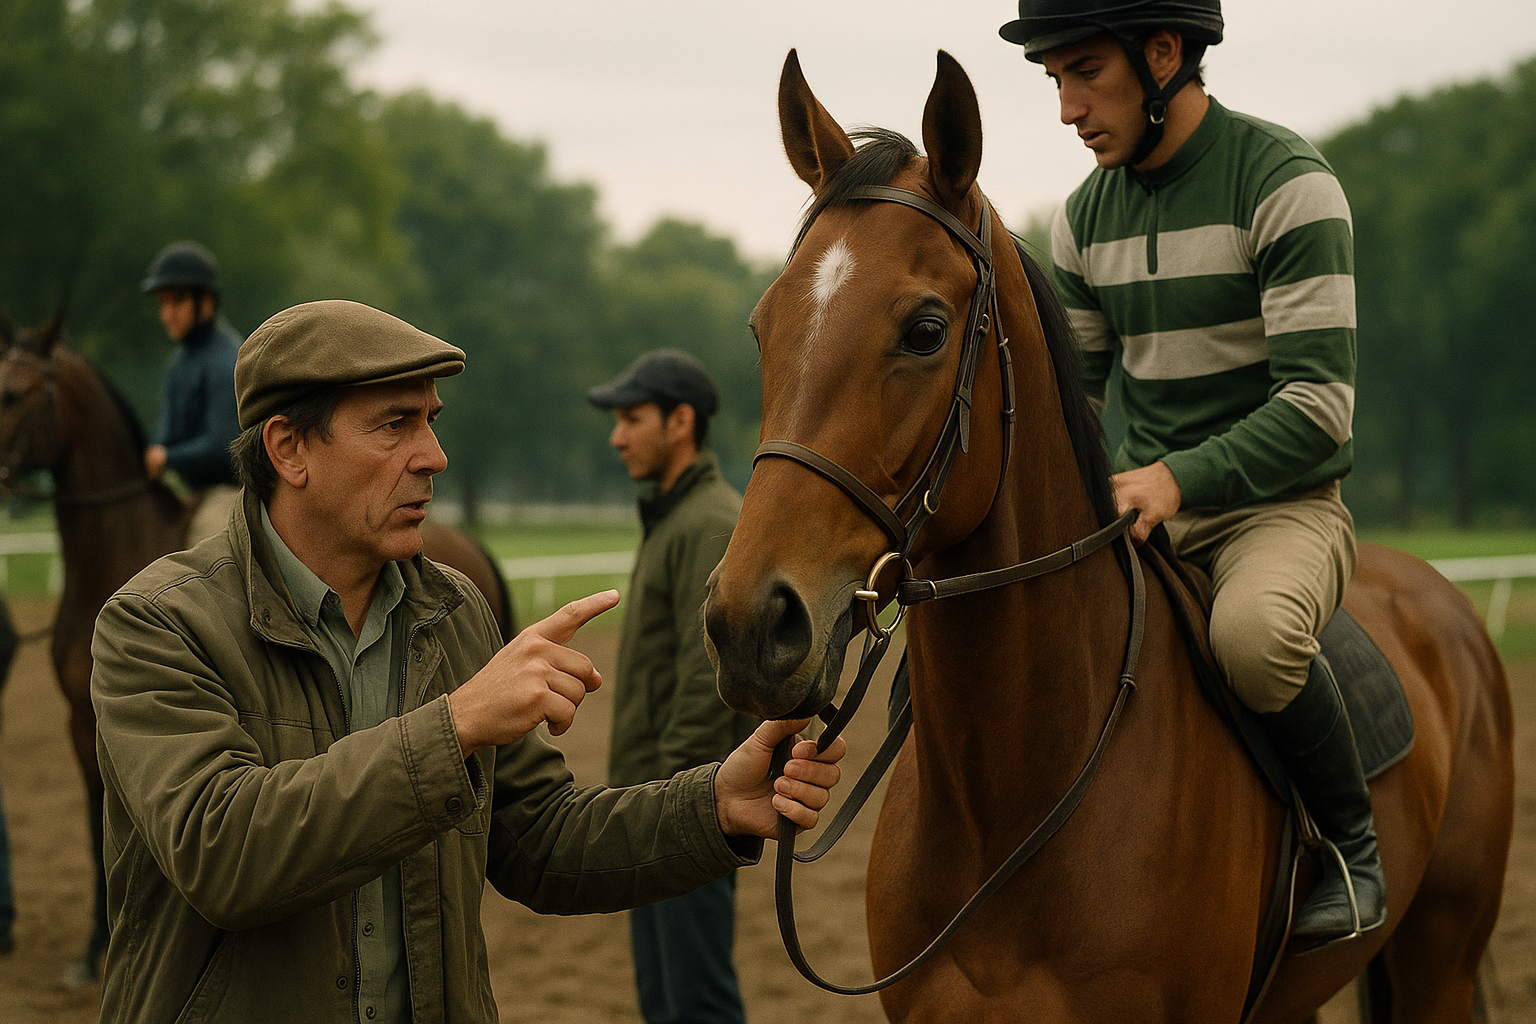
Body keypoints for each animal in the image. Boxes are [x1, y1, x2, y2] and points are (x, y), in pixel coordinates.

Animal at [0, 313, 515, 982]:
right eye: (396, 424)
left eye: (12, 394)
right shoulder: (87, 715)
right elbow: (99, 824)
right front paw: (96, 945)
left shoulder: (88, 719)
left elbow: (96, 828)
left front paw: (95, 947)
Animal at [702, 51, 1514, 1023]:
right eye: (763, 326)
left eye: (925, 330)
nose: (751, 624)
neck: (1008, 806)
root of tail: (1447, 609)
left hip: (1441, 960)